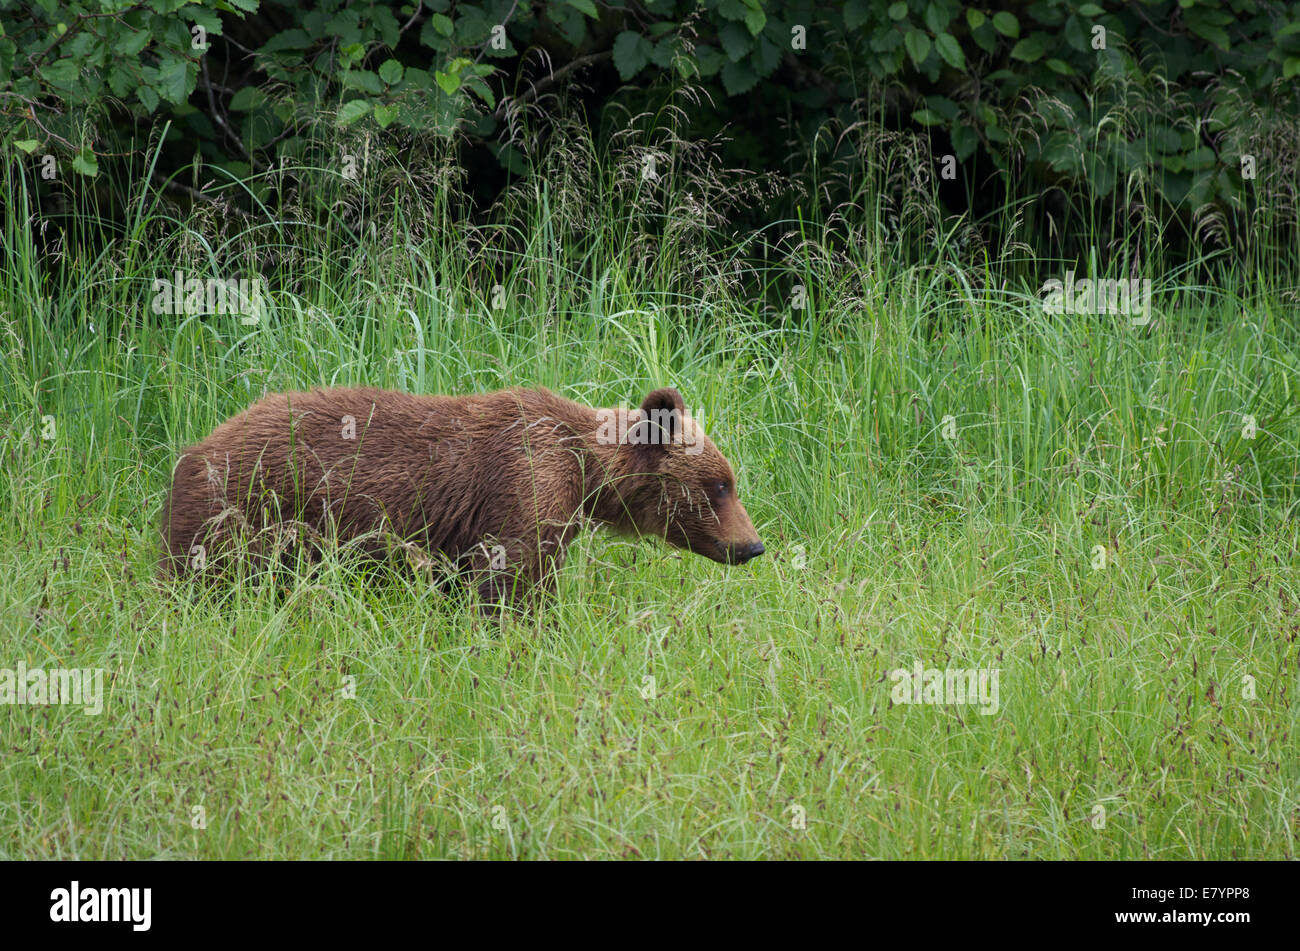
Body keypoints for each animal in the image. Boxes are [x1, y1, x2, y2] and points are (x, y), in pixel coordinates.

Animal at [167, 387, 764, 605]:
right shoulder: (525, 487)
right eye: (720, 486)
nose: (753, 546)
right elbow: (511, 582)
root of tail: (192, 449)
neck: (587, 474)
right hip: (247, 511)